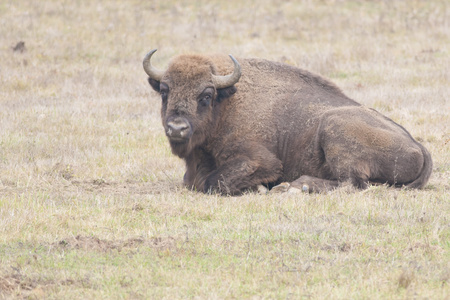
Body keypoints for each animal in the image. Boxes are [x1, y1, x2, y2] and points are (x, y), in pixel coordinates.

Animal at [144, 49, 432, 195]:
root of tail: (418, 146)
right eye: (165, 90)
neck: (227, 104)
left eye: (206, 95)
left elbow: (214, 182)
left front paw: (261, 187)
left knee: (352, 183)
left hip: (333, 127)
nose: (177, 128)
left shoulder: (261, 161)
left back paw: (295, 186)